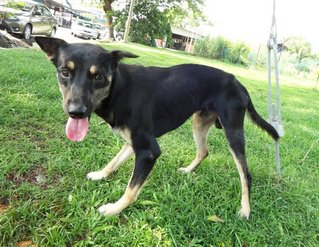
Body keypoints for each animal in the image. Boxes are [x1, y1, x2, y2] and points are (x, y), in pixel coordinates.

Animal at [34, 36, 280, 218]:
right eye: (65, 72)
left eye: (99, 77)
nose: (76, 112)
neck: (119, 89)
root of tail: (239, 83)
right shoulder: (132, 142)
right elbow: (114, 161)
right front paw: (101, 174)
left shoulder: (148, 151)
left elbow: (131, 190)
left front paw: (114, 209)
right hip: (199, 122)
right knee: (203, 151)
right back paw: (188, 171)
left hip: (233, 132)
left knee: (245, 175)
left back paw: (245, 210)